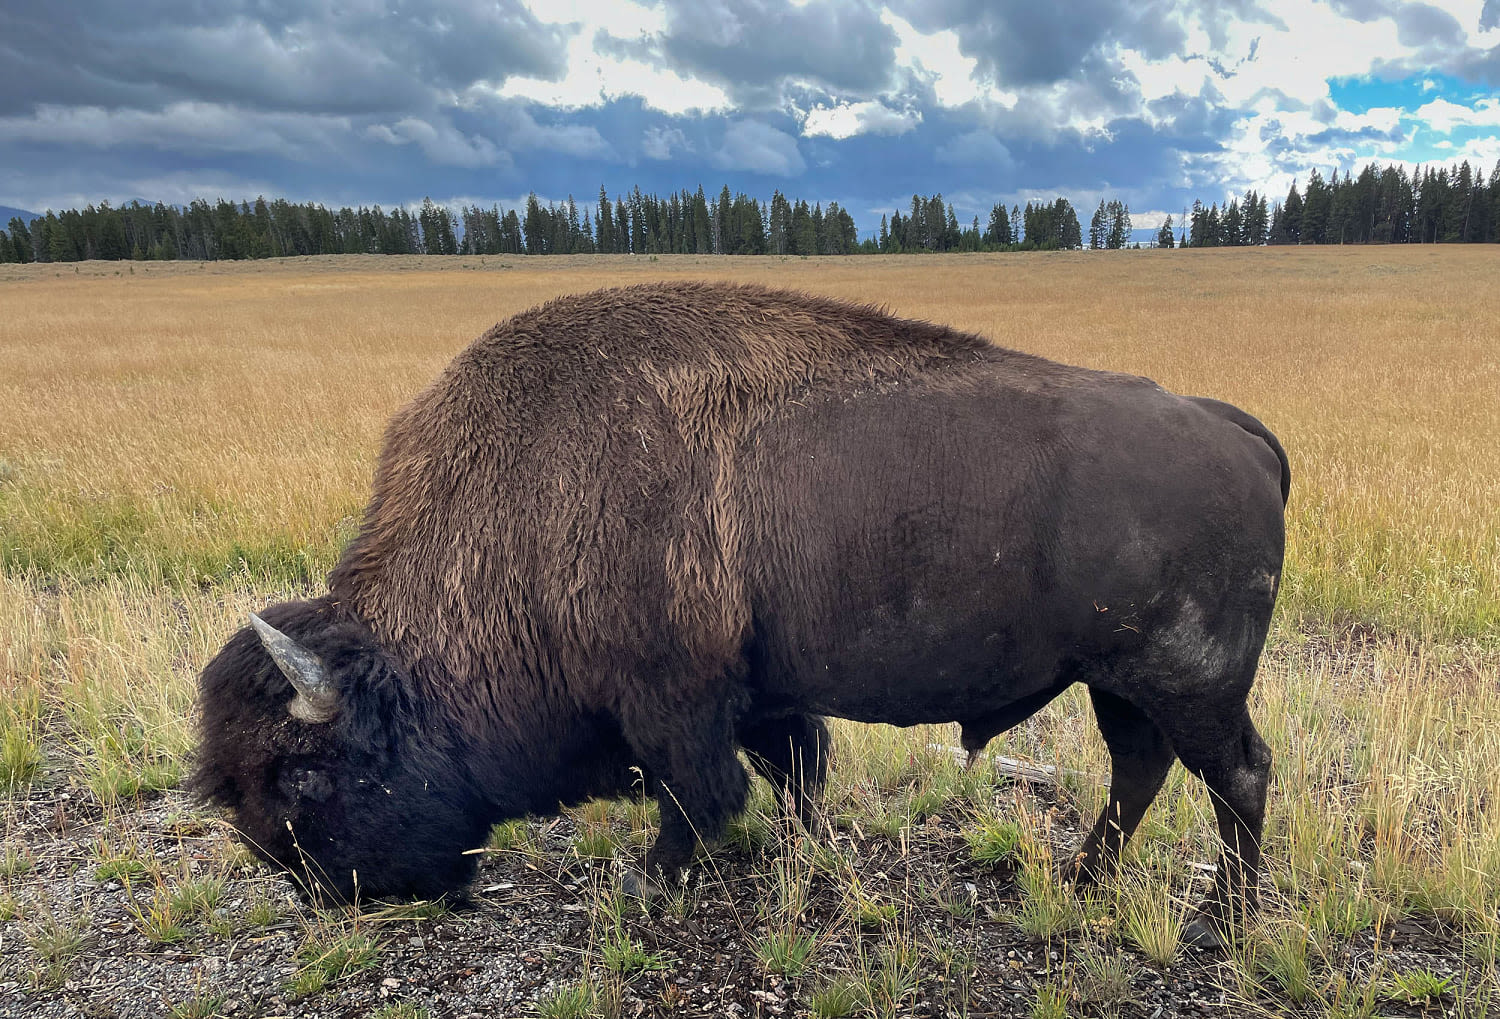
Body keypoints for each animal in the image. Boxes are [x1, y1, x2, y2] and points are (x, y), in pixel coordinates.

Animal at [190, 280, 1290, 948]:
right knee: (1142, 769)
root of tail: (1232, 426)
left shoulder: (674, 702)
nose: (325, 892)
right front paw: (808, 863)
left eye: (302, 772)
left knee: (1235, 773)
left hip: (1187, 680)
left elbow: (701, 794)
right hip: (1120, 680)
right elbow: (796, 770)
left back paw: (1223, 917)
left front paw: (654, 883)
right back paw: (1086, 876)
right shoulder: (759, 692)